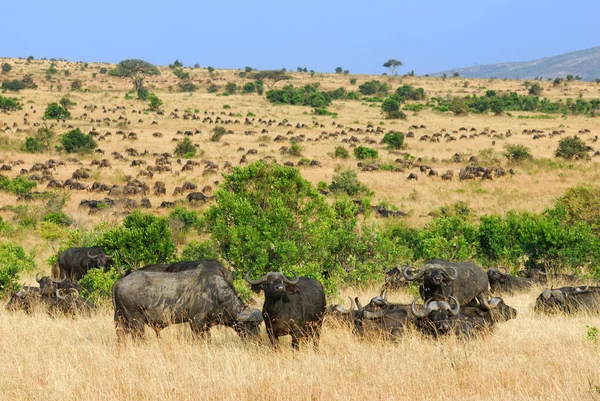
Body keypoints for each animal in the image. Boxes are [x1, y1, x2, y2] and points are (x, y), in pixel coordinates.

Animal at [112, 268, 262, 340]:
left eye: (259, 325)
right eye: (252, 325)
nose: (258, 340)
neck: (216, 294)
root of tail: (119, 282)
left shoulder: (206, 326)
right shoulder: (196, 322)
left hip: (120, 321)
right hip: (136, 322)